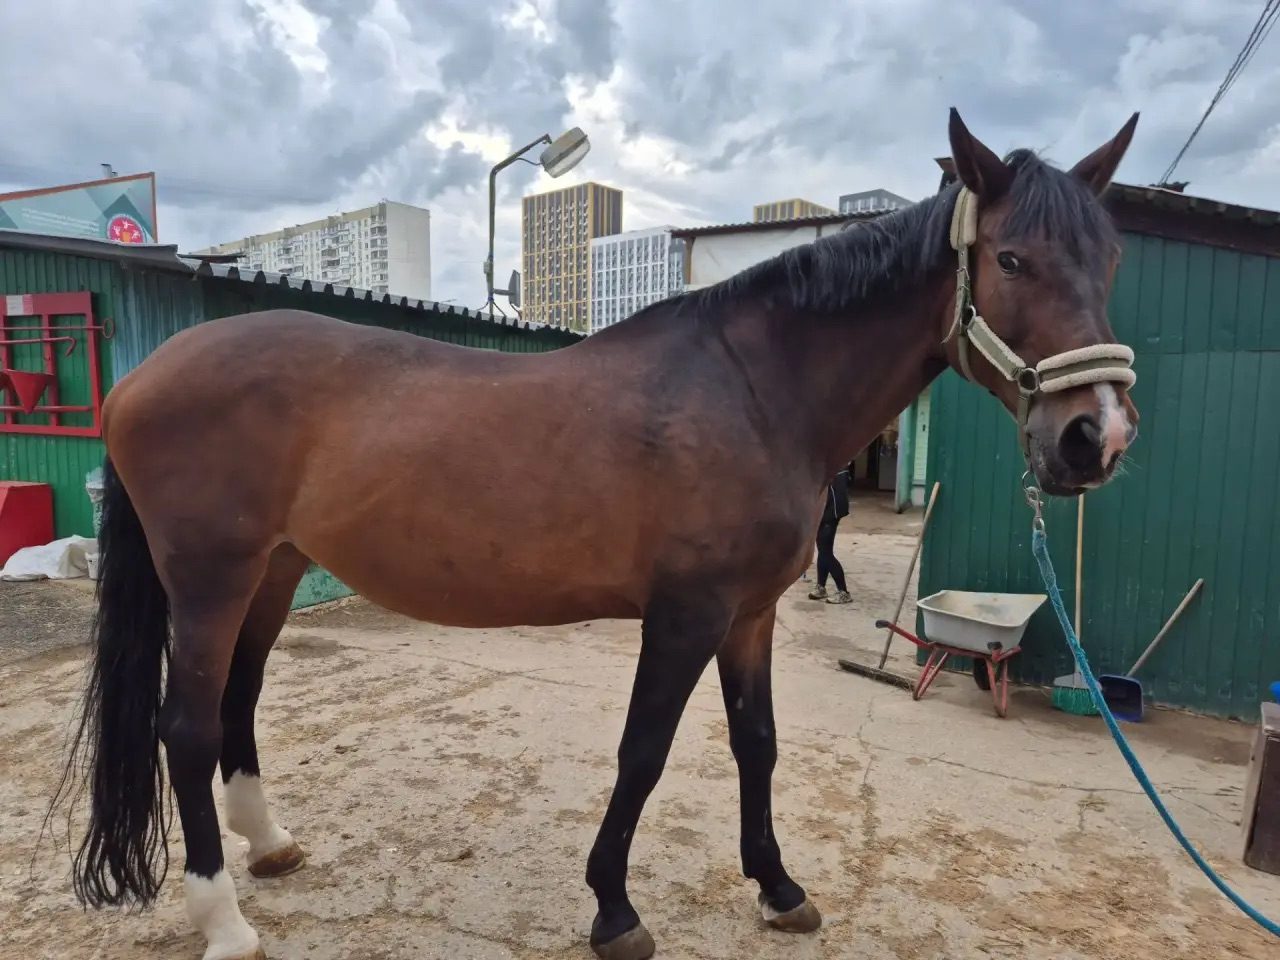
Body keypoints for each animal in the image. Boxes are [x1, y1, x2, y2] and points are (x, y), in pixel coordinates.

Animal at [52, 108, 1140, 960]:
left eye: (1111, 258)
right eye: (1010, 258)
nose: (1095, 436)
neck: (753, 391)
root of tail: (143, 377)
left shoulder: (750, 615)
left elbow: (757, 745)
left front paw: (778, 888)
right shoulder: (686, 613)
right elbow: (643, 752)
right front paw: (615, 909)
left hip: (273, 573)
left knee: (237, 705)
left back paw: (270, 846)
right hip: (209, 580)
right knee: (186, 729)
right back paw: (226, 922)